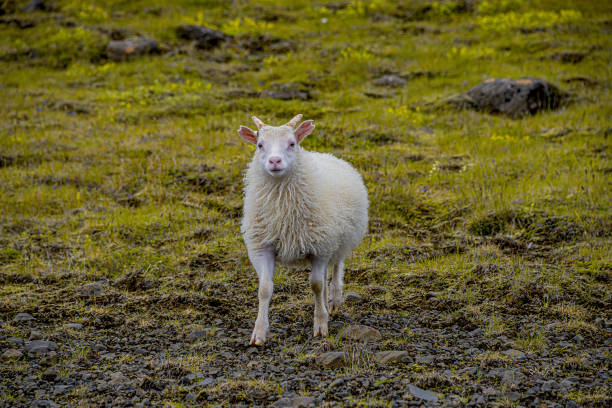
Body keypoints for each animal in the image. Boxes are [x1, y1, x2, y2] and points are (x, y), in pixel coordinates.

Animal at [238, 114, 368, 344]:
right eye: (260, 145)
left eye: (292, 143)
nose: (274, 161)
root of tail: (326, 154)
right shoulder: (262, 247)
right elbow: (264, 289)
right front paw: (259, 333)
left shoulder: (320, 247)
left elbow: (316, 285)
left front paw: (321, 325)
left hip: (339, 240)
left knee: (336, 267)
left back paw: (334, 299)